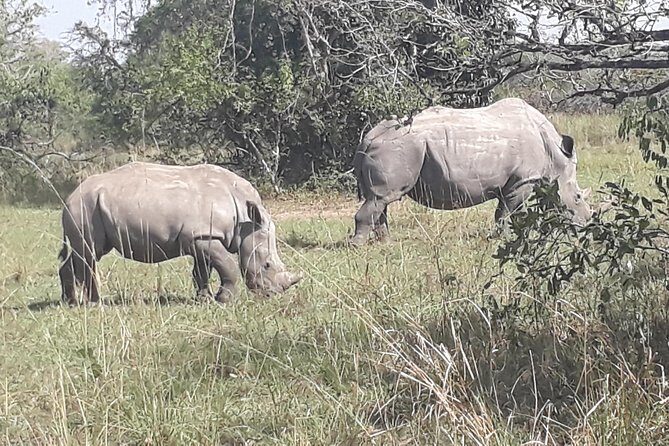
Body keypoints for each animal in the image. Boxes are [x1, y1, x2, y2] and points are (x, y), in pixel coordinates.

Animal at [58, 162, 301, 304]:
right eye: (267, 264)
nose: (272, 294)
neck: (244, 219)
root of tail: (68, 198)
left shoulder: (201, 237)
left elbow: (202, 271)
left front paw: (204, 300)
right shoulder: (204, 236)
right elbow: (228, 267)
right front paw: (224, 301)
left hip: (90, 206)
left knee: (84, 254)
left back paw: (70, 302)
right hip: (85, 207)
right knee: (90, 253)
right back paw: (95, 303)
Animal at [351, 98, 592, 245]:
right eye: (578, 197)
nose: (587, 223)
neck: (556, 156)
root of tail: (368, 138)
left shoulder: (515, 182)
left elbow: (506, 212)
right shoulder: (522, 181)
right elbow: (508, 212)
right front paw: (503, 238)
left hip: (398, 149)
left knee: (381, 200)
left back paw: (385, 243)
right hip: (401, 148)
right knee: (381, 198)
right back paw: (358, 247)